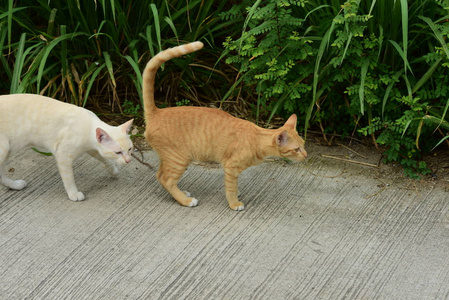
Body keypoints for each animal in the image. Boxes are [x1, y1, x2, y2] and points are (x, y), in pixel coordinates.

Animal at [0, 94, 133, 202]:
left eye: (130, 149)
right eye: (118, 152)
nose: (128, 160)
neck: (88, 125)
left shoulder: (92, 149)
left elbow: (105, 159)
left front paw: (113, 171)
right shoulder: (63, 156)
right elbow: (69, 178)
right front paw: (73, 194)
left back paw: (15, 185)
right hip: (4, 149)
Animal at [142, 41, 306, 211]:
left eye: (304, 145)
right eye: (296, 149)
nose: (306, 155)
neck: (257, 139)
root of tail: (156, 112)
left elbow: (233, 185)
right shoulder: (230, 167)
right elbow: (231, 187)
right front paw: (234, 203)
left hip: (169, 157)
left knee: (160, 175)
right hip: (179, 158)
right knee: (167, 179)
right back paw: (186, 200)